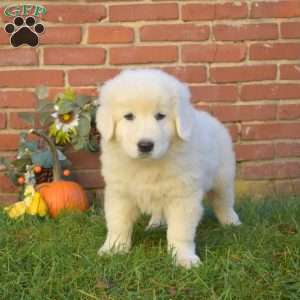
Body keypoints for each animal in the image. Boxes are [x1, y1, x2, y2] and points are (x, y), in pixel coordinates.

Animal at [96, 69, 241, 268]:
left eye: (160, 116)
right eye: (129, 116)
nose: (145, 145)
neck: (147, 165)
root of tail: (209, 116)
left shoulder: (183, 196)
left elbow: (180, 231)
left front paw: (184, 257)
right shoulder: (119, 192)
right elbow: (118, 223)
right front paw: (113, 249)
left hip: (223, 176)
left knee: (223, 201)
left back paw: (231, 222)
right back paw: (156, 224)